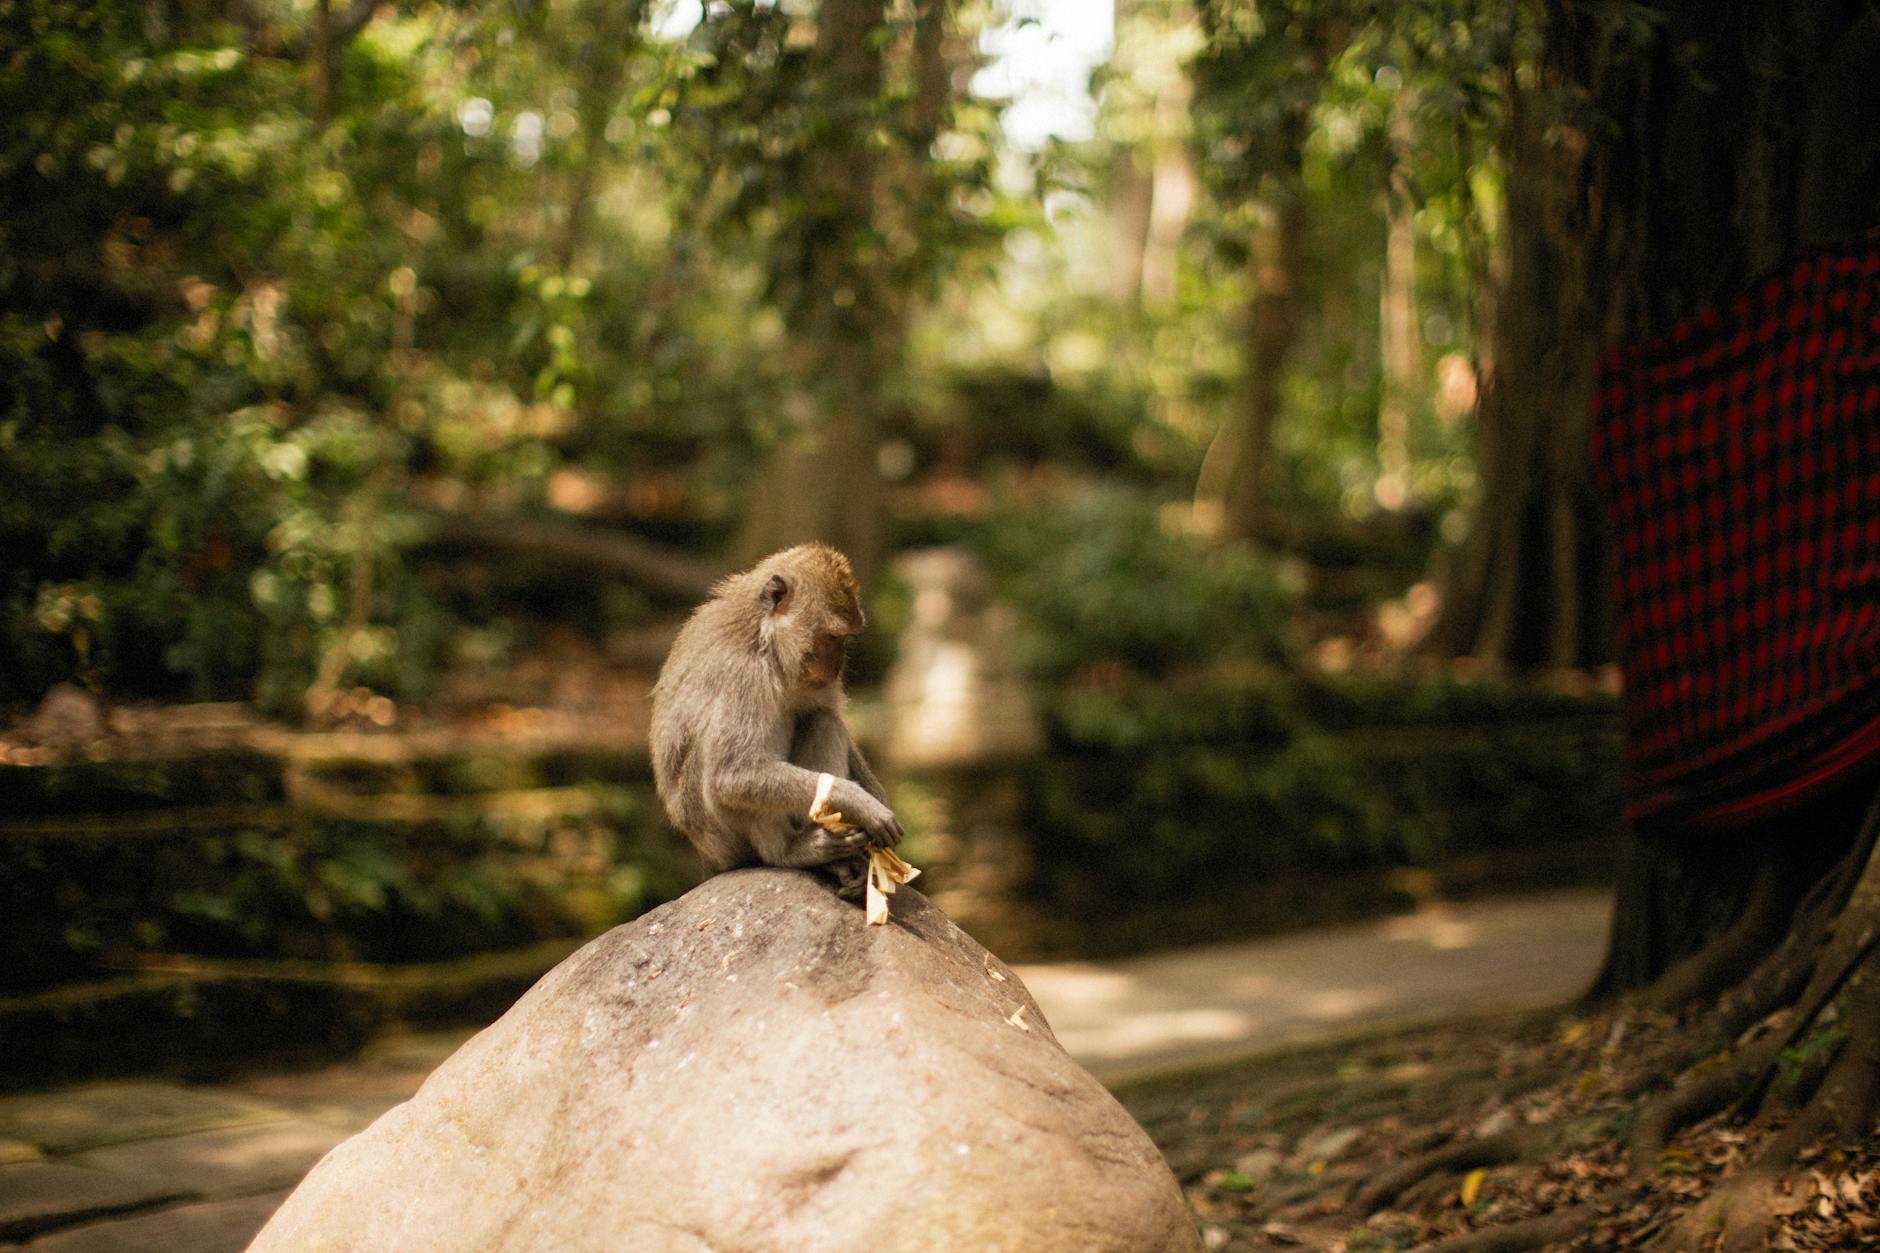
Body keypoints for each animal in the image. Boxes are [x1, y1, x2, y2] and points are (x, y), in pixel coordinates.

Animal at [649, 544, 903, 900]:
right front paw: (858, 801)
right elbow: (734, 775)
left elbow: (823, 711)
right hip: (718, 836)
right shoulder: (744, 672)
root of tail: (707, 857)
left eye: (846, 640)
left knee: (822, 720)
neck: (764, 639)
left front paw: (877, 796)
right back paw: (791, 852)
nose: (838, 664)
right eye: (832, 637)